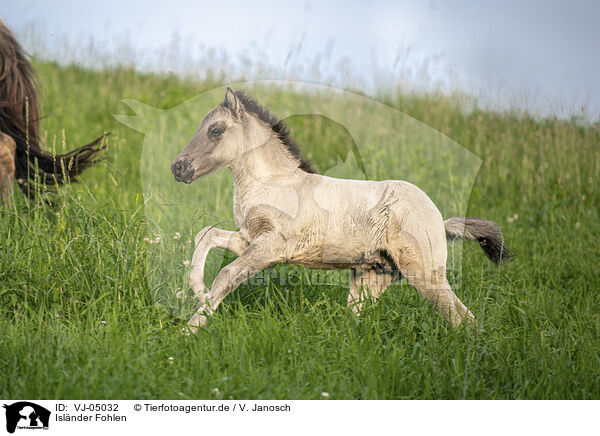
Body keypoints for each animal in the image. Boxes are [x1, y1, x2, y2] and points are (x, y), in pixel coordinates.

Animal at [171, 88, 508, 330]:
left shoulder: (271, 245)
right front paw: (197, 290)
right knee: (357, 318)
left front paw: (191, 328)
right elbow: (206, 234)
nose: (178, 168)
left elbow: (227, 275)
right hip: (372, 277)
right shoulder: (249, 239)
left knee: (462, 318)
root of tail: (439, 220)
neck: (275, 182)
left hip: (426, 274)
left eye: (215, 131)